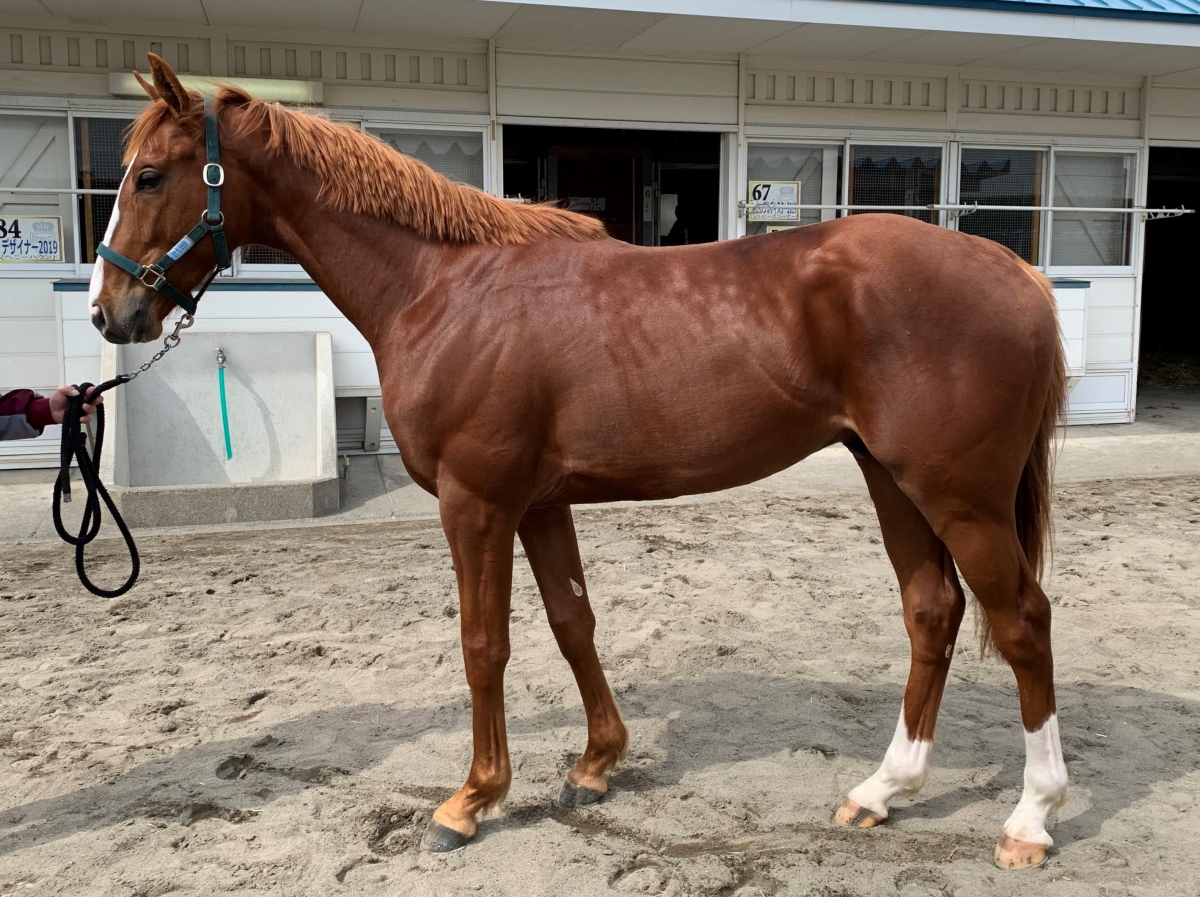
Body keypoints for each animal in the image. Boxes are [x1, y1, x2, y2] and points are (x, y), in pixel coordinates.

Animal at [88, 55, 1069, 869]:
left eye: (149, 173)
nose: (109, 313)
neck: (442, 289)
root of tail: (1016, 272)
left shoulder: (475, 502)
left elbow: (484, 642)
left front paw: (471, 799)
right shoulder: (536, 502)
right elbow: (572, 622)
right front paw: (596, 763)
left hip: (960, 496)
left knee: (1022, 620)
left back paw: (1030, 818)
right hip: (891, 478)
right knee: (933, 611)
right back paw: (882, 790)